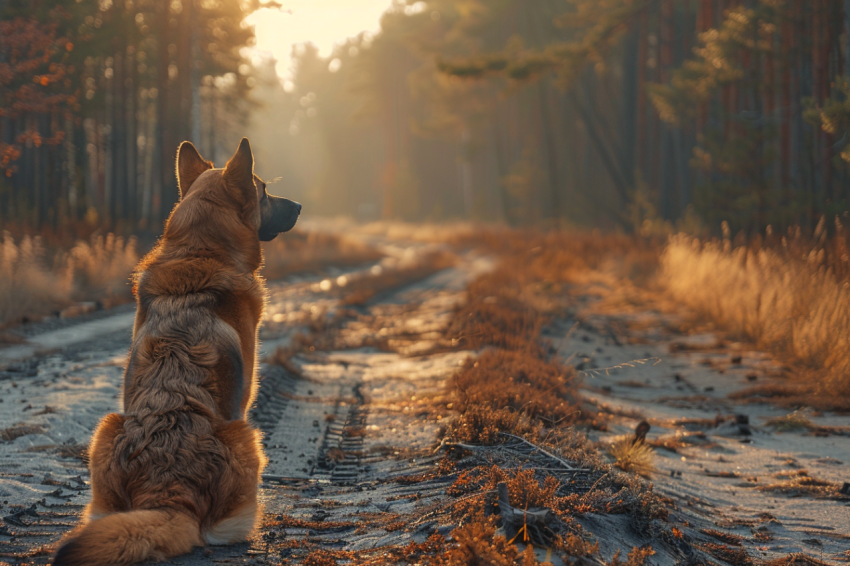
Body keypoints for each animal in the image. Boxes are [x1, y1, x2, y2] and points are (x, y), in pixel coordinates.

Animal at [52, 139, 298, 566]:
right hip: (246, 435)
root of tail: (168, 495)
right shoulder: (244, 401)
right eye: (264, 191)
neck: (199, 251)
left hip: (106, 427)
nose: (299, 206)